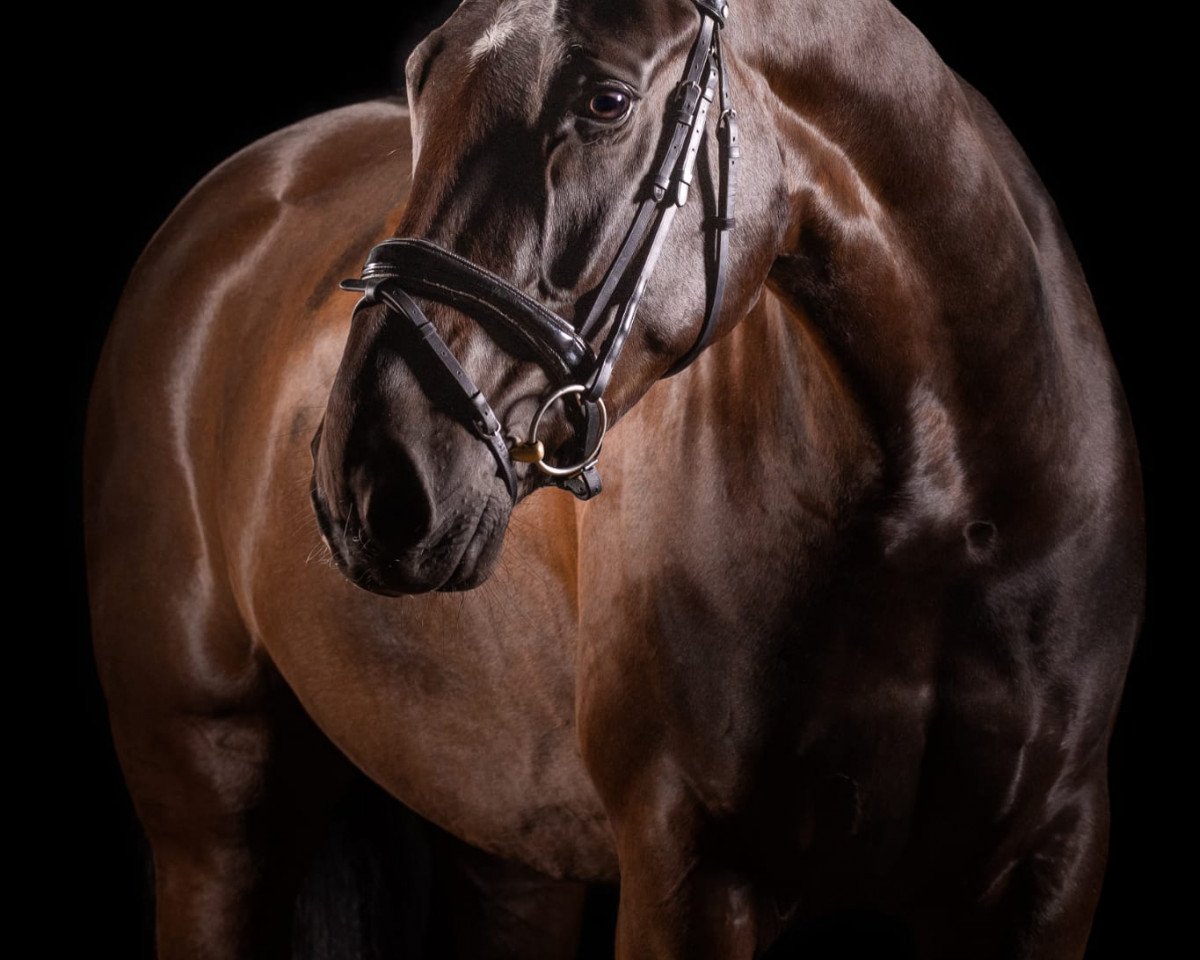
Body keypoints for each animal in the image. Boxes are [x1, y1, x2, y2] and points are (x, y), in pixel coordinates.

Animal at [84, 0, 1144, 956]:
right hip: (215, 824)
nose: (366, 477)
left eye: (607, 101)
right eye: (424, 80)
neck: (942, 511)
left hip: (511, 839)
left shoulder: (1050, 866)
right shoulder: (691, 874)